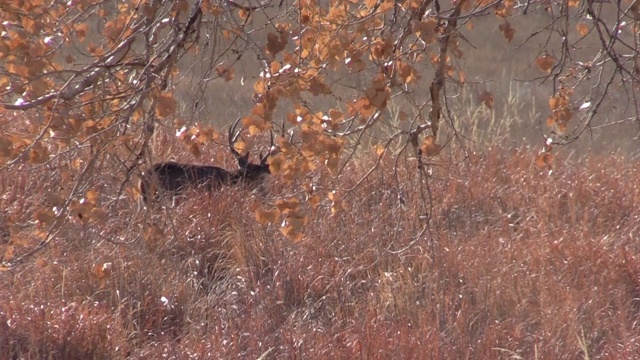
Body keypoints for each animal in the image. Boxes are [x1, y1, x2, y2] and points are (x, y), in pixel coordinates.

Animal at [141, 117, 274, 204]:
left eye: (262, 177)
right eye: (254, 177)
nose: (265, 193)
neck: (227, 179)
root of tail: (143, 176)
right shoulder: (212, 192)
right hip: (160, 195)